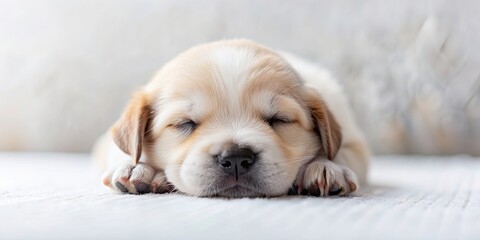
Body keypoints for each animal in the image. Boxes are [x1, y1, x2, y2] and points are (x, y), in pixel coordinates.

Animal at [94, 39, 372, 197]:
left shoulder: (354, 143)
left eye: (279, 119)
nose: (236, 158)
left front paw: (326, 167)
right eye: (185, 123)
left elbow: (340, 153)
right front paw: (137, 168)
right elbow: (125, 150)